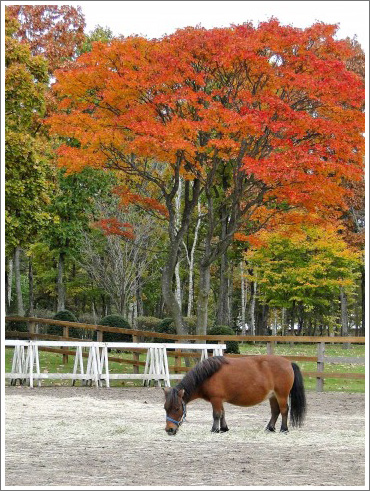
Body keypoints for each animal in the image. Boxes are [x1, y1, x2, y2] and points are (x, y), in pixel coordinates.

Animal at [163, 356, 306, 436]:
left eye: (177, 408)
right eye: (165, 408)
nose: (169, 430)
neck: (207, 375)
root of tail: (288, 363)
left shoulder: (216, 399)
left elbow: (216, 414)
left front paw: (214, 429)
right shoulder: (220, 400)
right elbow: (222, 414)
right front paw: (224, 428)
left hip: (281, 395)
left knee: (284, 410)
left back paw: (284, 429)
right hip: (272, 396)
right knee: (275, 411)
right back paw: (269, 428)